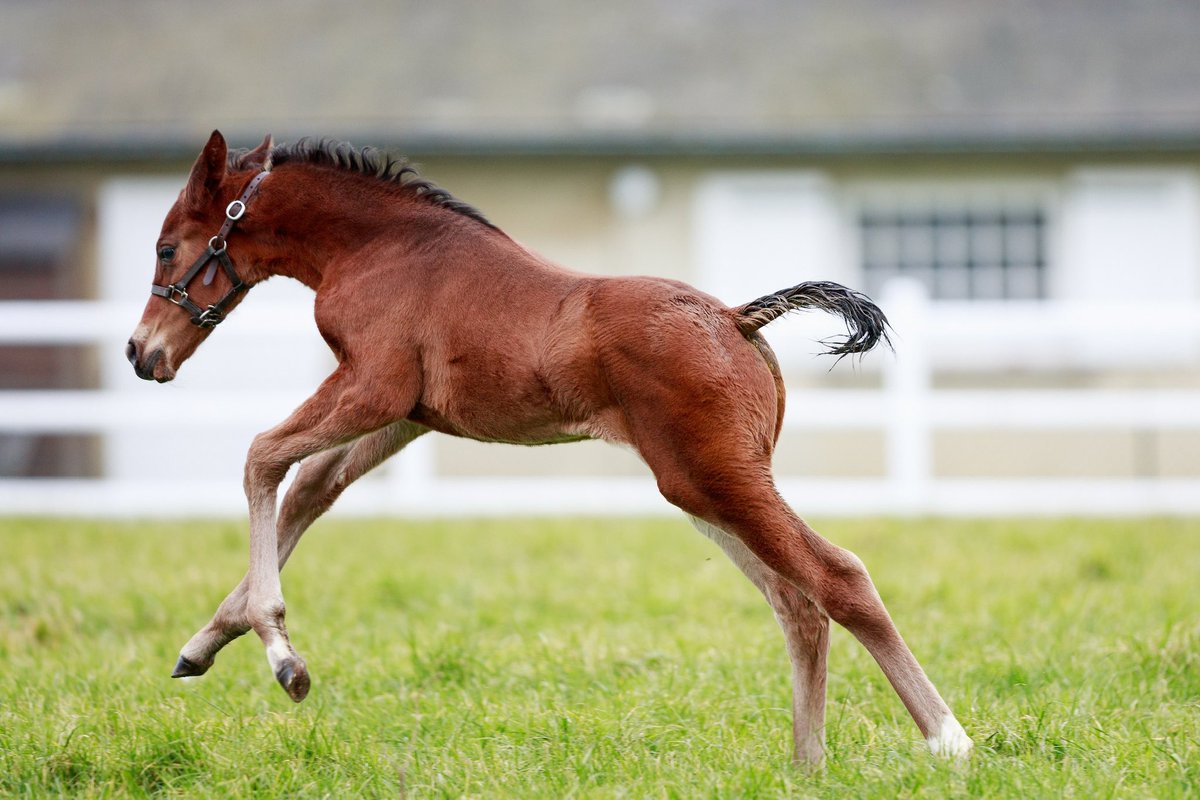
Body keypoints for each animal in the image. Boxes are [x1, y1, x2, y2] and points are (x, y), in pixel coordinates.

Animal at [125, 130, 971, 764]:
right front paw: (203, 645)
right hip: (703, 488)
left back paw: (947, 740)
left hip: (718, 479)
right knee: (796, 603)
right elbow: (308, 491)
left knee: (838, 577)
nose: (141, 353)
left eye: (167, 250)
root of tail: (736, 317)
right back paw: (805, 765)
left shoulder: (373, 387)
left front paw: (283, 658)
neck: (379, 248)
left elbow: (262, 458)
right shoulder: (411, 416)